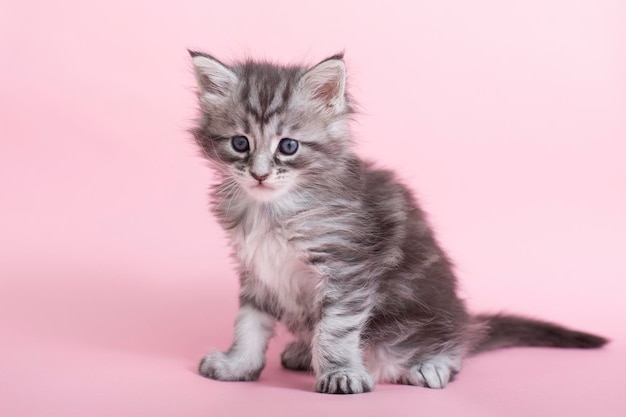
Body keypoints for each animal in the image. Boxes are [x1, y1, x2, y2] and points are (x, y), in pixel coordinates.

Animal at [189, 50, 604, 392]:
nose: (259, 175)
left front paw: (340, 373)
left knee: (455, 346)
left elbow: (334, 329)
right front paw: (238, 366)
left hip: (433, 322)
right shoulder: (256, 271)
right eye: (240, 143)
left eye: (288, 146)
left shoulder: (346, 268)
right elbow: (249, 324)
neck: (272, 209)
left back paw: (431, 365)